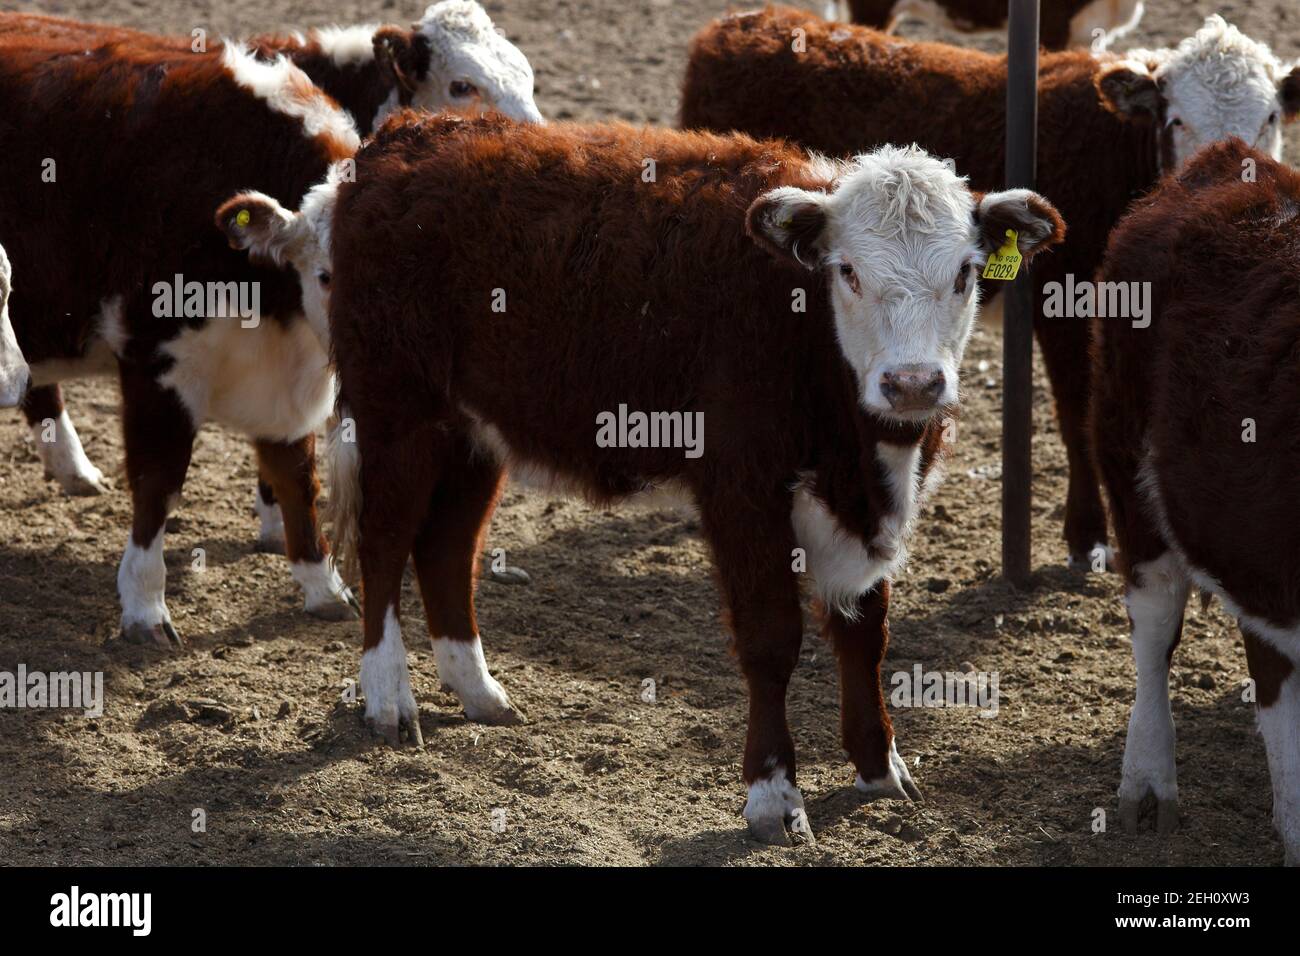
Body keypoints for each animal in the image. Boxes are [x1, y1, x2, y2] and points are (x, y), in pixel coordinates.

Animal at [0, 22, 363, 645]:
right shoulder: (157, 362)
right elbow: (158, 484)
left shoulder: (286, 382)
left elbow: (296, 479)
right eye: (325, 274)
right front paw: (145, 605)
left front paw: (323, 586)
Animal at [233, 111, 1064, 843]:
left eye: (965, 274)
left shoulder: (865, 508)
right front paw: (773, 796)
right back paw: (388, 697)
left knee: (446, 548)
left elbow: (866, 633)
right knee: (384, 542)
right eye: (848, 271)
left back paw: (477, 691)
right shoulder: (740, 489)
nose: (913, 384)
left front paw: (878, 767)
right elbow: (773, 639)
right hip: (396, 411)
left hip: (473, 430)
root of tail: (398, 141)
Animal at [681, 8, 1300, 568]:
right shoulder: (1063, 304)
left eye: (1272, 116)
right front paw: (1087, 536)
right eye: (1174, 120)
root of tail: (741, 23)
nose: (1229, 166)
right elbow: (1075, 414)